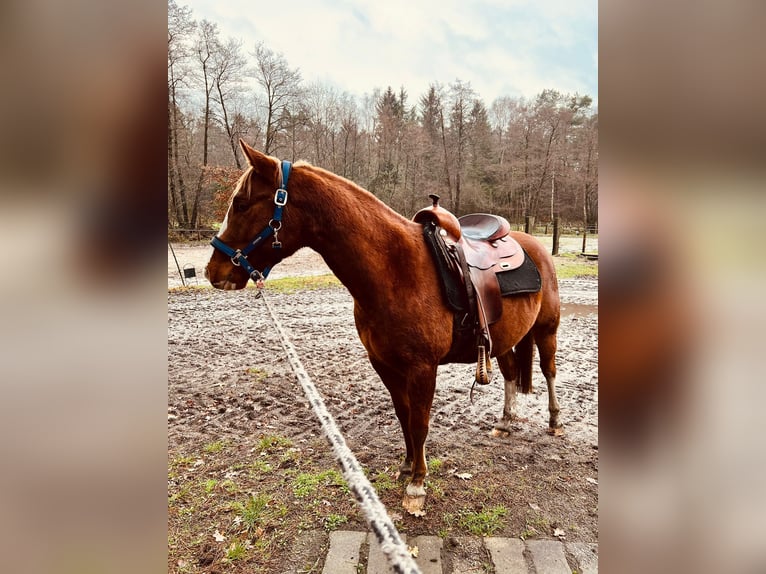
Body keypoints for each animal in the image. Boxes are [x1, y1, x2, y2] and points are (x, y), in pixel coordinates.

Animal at [205, 140, 562, 515]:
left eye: (241, 204)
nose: (213, 271)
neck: (395, 270)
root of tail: (532, 243)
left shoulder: (423, 368)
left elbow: (419, 421)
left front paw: (417, 483)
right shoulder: (384, 363)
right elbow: (403, 415)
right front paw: (406, 466)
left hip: (547, 329)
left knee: (549, 370)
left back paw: (555, 422)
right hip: (505, 338)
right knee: (510, 373)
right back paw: (505, 423)